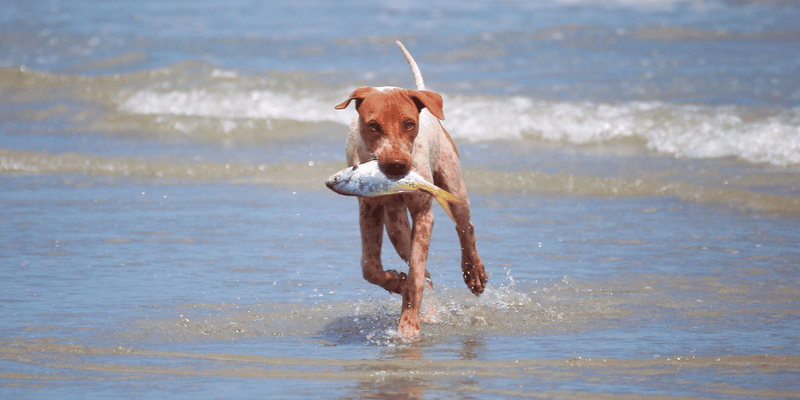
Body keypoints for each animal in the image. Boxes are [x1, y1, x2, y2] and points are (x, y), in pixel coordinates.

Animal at [332, 43, 488, 338]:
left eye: (409, 123)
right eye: (373, 125)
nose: (397, 165)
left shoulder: (423, 213)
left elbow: (416, 273)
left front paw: (408, 323)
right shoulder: (369, 209)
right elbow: (370, 267)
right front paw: (395, 282)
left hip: (453, 182)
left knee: (465, 226)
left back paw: (473, 273)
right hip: (396, 224)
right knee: (414, 257)